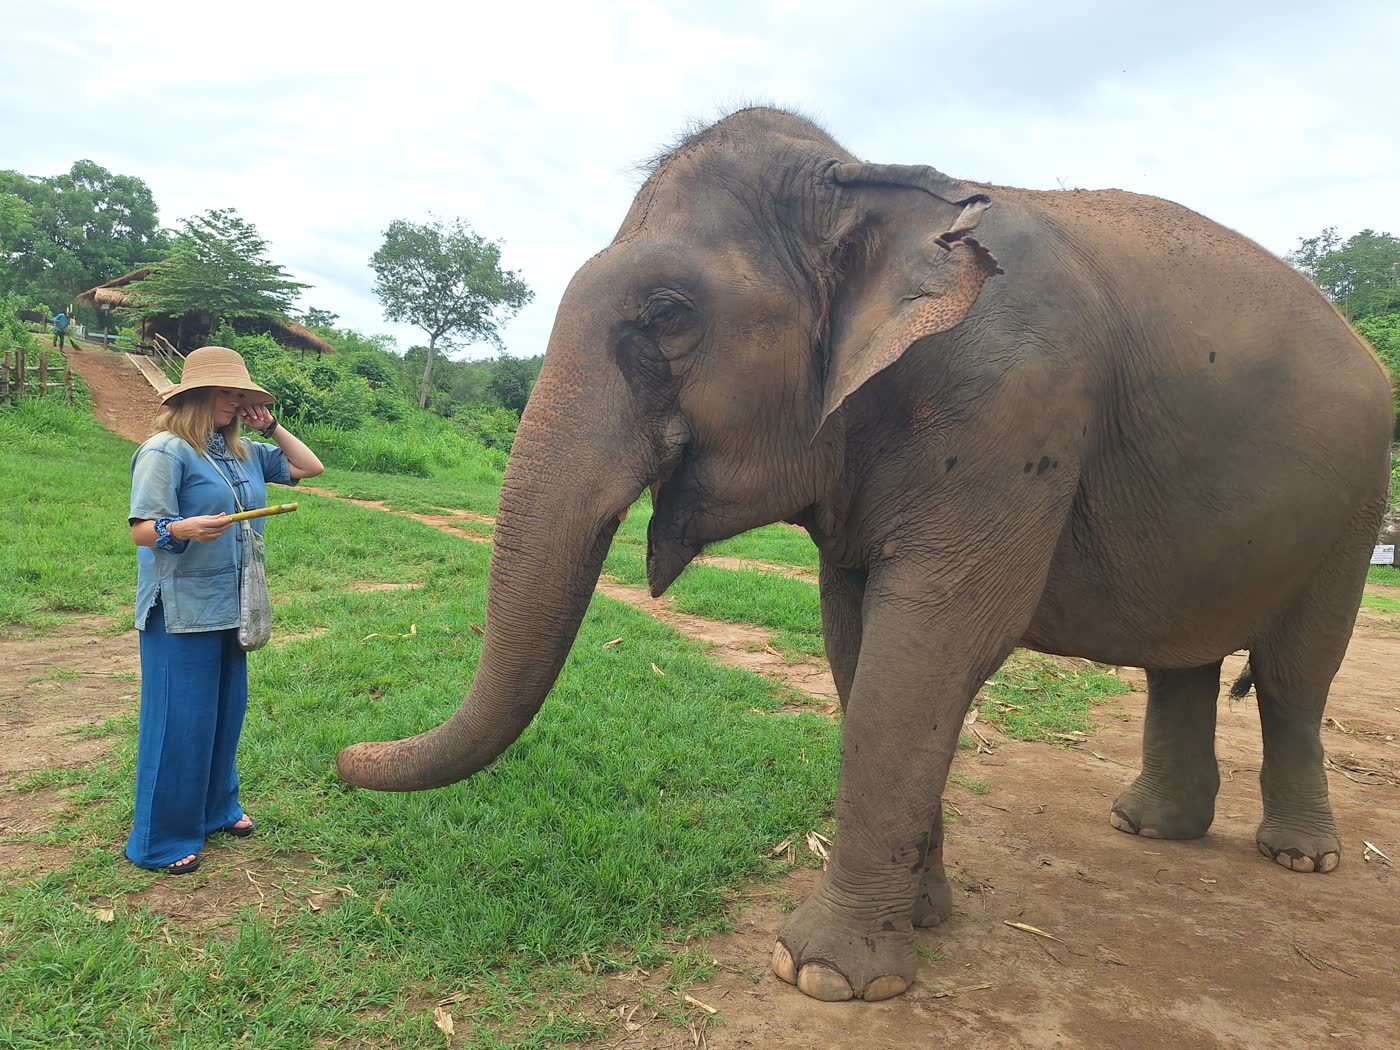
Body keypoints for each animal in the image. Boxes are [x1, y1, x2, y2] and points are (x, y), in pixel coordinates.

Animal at [337, 107, 1395, 1003]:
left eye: (669, 314)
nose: (344, 758)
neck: (869, 180)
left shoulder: (1013, 410)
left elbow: (933, 640)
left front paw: (823, 976)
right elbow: (855, 637)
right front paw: (921, 922)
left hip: (1357, 507)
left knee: (1296, 674)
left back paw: (1299, 857)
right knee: (1184, 661)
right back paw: (1147, 826)